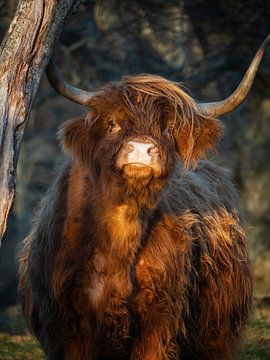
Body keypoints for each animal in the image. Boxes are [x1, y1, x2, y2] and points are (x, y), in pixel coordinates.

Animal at [17, 35, 268, 358]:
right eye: (112, 123)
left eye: (169, 127)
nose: (140, 149)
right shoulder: (67, 323)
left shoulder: (158, 319)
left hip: (217, 329)